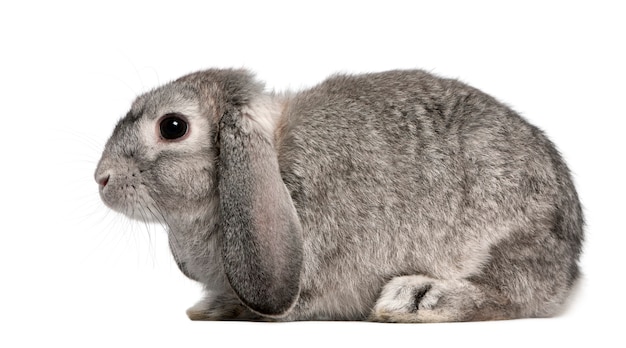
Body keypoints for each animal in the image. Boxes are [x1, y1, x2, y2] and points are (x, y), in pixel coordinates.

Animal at [95, 68, 584, 324]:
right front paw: (206, 309)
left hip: (512, 237)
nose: (101, 178)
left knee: (518, 293)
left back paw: (416, 299)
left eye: (173, 126)